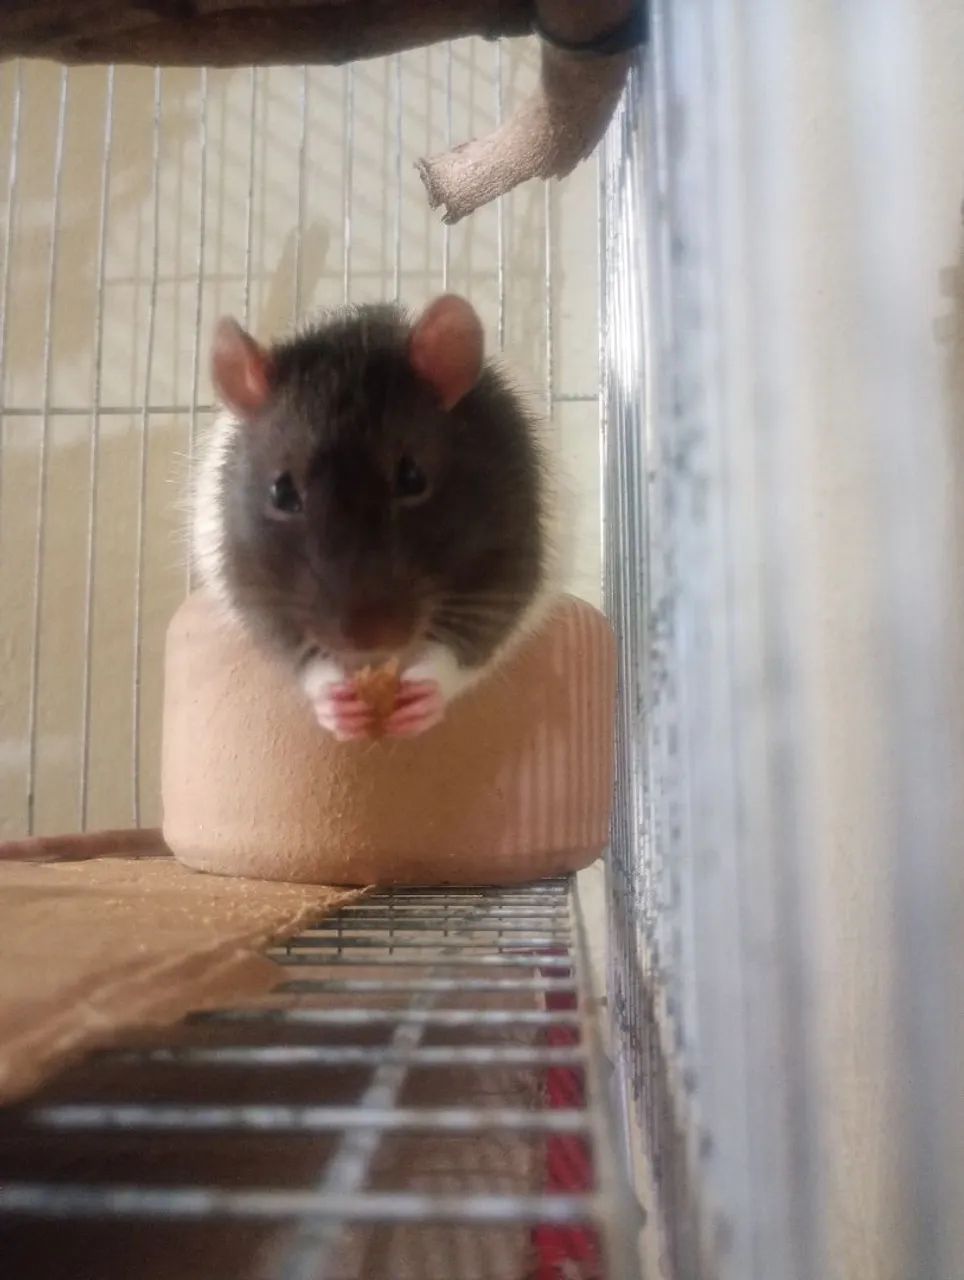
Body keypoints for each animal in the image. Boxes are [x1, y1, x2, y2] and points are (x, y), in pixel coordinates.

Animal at [193, 294, 556, 741]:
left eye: (413, 477)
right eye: (282, 492)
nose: (366, 637)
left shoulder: (511, 555)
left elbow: (483, 635)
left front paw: (431, 686)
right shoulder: (246, 579)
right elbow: (284, 643)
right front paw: (328, 696)